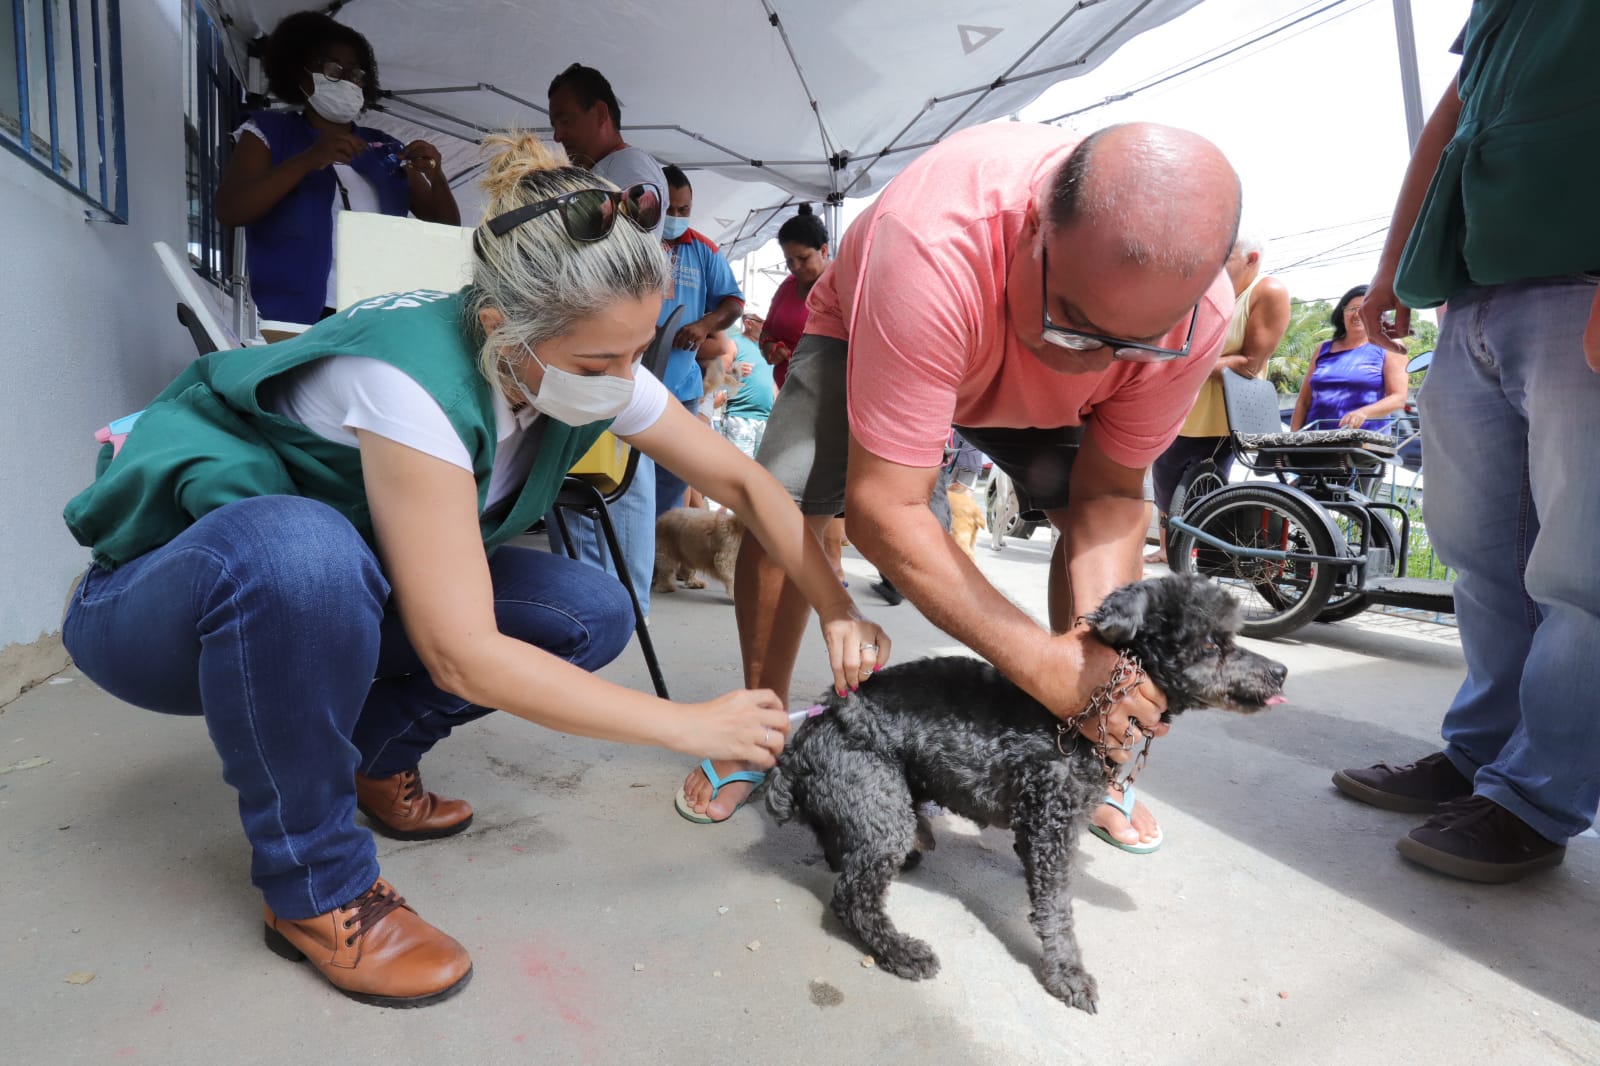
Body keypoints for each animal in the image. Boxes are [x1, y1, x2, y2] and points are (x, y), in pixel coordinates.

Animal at [761, 573, 1286, 1011]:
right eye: (1214, 643)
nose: (1280, 671)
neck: (1079, 719)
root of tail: (807, 737)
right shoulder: (1052, 823)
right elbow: (1057, 911)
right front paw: (1067, 973)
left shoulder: (1047, 823)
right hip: (878, 800)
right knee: (852, 896)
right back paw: (900, 950)